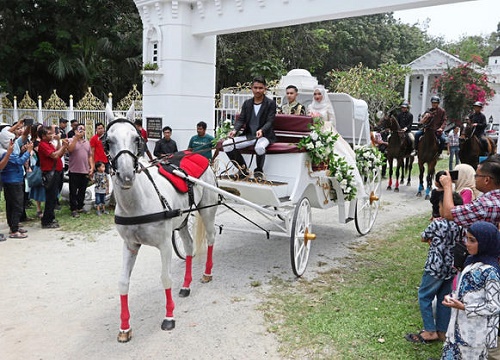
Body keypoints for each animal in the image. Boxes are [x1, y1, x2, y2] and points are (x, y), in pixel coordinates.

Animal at [106, 105, 218, 342]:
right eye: (109, 140)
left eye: (136, 138)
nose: (126, 175)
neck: (139, 202)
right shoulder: (130, 245)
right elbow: (123, 282)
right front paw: (124, 327)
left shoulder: (165, 244)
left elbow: (165, 278)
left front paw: (169, 316)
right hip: (183, 220)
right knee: (189, 246)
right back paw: (186, 285)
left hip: (208, 210)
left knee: (211, 237)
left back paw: (207, 273)